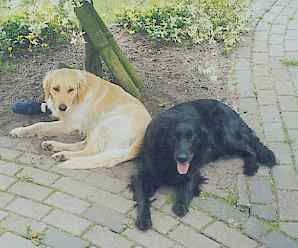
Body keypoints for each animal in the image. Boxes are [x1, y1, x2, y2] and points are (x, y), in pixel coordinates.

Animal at [9, 68, 151, 169]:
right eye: (55, 89)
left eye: (71, 90)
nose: (62, 108)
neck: (77, 98)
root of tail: (141, 141)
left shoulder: (70, 124)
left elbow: (40, 124)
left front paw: (20, 131)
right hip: (96, 128)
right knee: (82, 145)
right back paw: (53, 146)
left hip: (106, 124)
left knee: (90, 151)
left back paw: (63, 155)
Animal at [132, 99, 276, 231]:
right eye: (174, 137)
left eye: (192, 137)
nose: (182, 158)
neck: (169, 159)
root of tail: (230, 110)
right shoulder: (141, 175)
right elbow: (142, 198)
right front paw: (144, 218)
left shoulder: (193, 170)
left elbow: (187, 187)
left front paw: (181, 205)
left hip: (226, 138)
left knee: (250, 148)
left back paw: (251, 167)